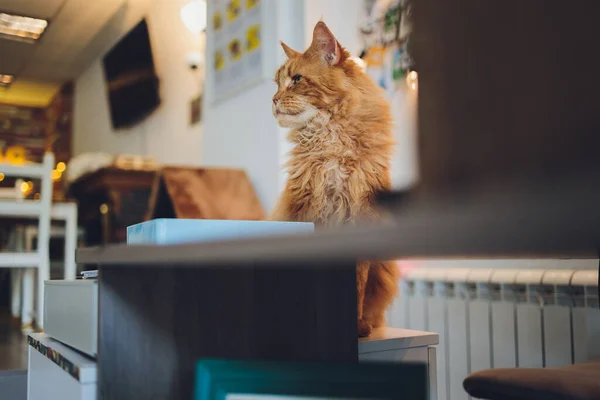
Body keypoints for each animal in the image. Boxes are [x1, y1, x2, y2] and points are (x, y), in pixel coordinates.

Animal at [268, 20, 398, 336]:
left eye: (296, 79)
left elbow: (357, 285)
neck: (330, 142)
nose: (273, 100)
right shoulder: (307, 214)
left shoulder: (360, 218)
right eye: (277, 84)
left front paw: (356, 326)